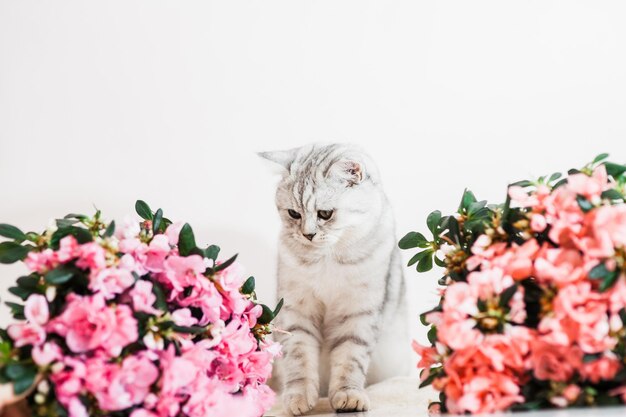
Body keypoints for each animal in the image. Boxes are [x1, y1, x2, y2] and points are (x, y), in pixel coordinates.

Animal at [258, 142, 410, 412]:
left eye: (325, 214)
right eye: (293, 214)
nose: (308, 234)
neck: (327, 258)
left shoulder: (358, 312)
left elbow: (350, 358)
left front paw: (349, 396)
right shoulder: (296, 310)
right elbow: (299, 357)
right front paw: (298, 399)